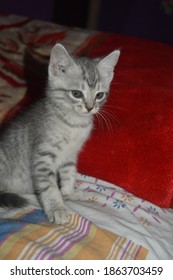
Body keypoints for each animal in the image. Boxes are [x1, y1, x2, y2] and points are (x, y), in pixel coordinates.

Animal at [0, 43, 119, 223]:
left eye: (99, 95)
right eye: (76, 93)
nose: (90, 107)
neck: (74, 124)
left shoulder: (70, 155)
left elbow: (69, 173)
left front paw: (69, 192)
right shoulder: (43, 156)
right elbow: (50, 186)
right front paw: (57, 208)